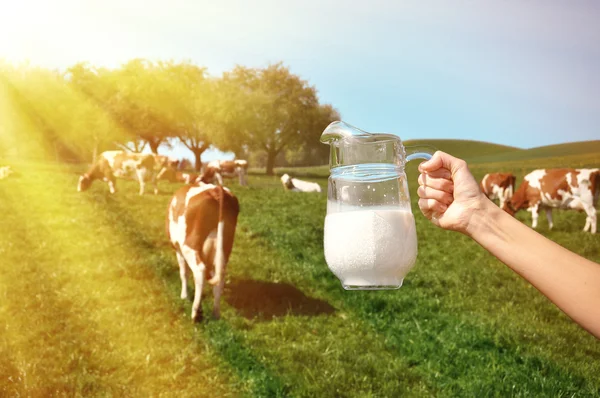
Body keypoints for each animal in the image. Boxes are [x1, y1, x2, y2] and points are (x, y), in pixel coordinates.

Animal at [166, 182, 239, 322]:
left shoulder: (178, 249)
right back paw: (215, 314)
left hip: (188, 247)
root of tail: (216, 190)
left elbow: (183, 273)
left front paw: (184, 296)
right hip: (223, 249)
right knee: (220, 278)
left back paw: (195, 313)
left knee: (199, 271)